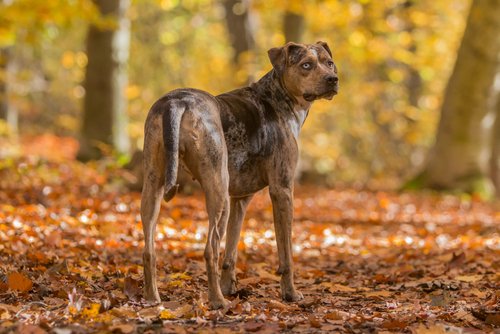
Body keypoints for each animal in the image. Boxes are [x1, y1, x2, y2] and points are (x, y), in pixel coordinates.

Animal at [141, 42, 340, 310]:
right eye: (306, 65)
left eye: (329, 62)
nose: (333, 79)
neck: (279, 98)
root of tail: (178, 102)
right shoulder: (282, 190)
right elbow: (285, 253)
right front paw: (290, 293)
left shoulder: (241, 199)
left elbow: (231, 251)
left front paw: (230, 287)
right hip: (218, 190)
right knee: (210, 249)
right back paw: (217, 301)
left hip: (153, 186)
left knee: (149, 250)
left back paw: (154, 298)